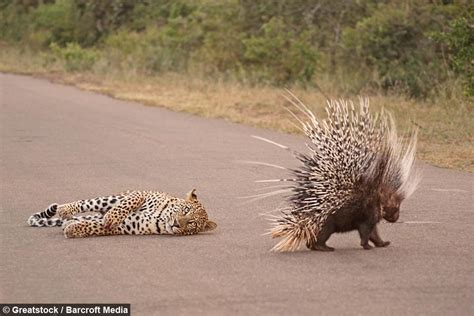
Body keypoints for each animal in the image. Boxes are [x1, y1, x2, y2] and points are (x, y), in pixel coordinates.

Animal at [27, 189, 217, 238]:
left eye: (192, 223)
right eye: (185, 210)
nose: (176, 223)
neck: (162, 218)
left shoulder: (129, 226)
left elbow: (97, 227)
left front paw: (73, 230)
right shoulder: (141, 193)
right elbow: (126, 205)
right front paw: (111, 217)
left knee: (89, 218)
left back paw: (70, 222)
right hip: (111, 198)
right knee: (88, 203)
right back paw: (65, 209)